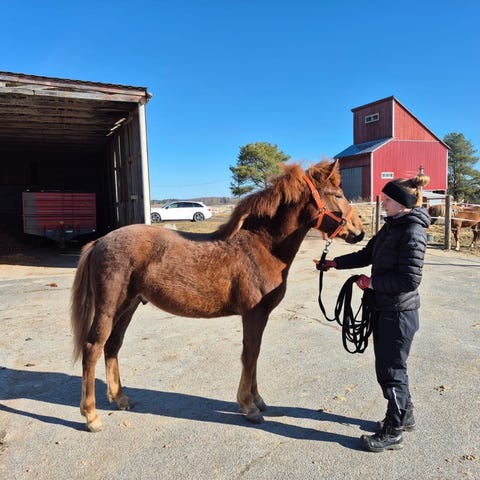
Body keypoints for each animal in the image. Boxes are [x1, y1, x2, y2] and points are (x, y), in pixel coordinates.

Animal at [71, 159, 365, 432]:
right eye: (338, 195)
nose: (359, 231)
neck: (262, 246)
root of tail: (100, 242)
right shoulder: (253, 314)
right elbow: (250, 353)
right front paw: (249, 407)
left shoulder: (260, 315)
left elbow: (255, 353)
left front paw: (257, 401)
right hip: (109, 306)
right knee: (93, 347)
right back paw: (91, 416)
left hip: (128, 305)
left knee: (113, 345)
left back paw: (120, 399)